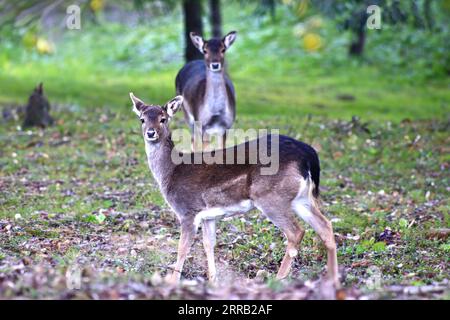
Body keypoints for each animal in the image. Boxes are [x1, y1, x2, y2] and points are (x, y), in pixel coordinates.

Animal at [128, 93, 340, 290]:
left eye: (163, 118)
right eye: (142, 119)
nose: (150, 133)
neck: (172, 173)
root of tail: (309, 155)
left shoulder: (187, 210)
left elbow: (182, 248)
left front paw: (172, 282)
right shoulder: (208, 215)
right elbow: (208, 244)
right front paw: (213, 281)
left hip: (271, 197)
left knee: (296, 232)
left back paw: (277, 280)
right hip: (301, 198)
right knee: (325, 226)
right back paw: (333, 280)